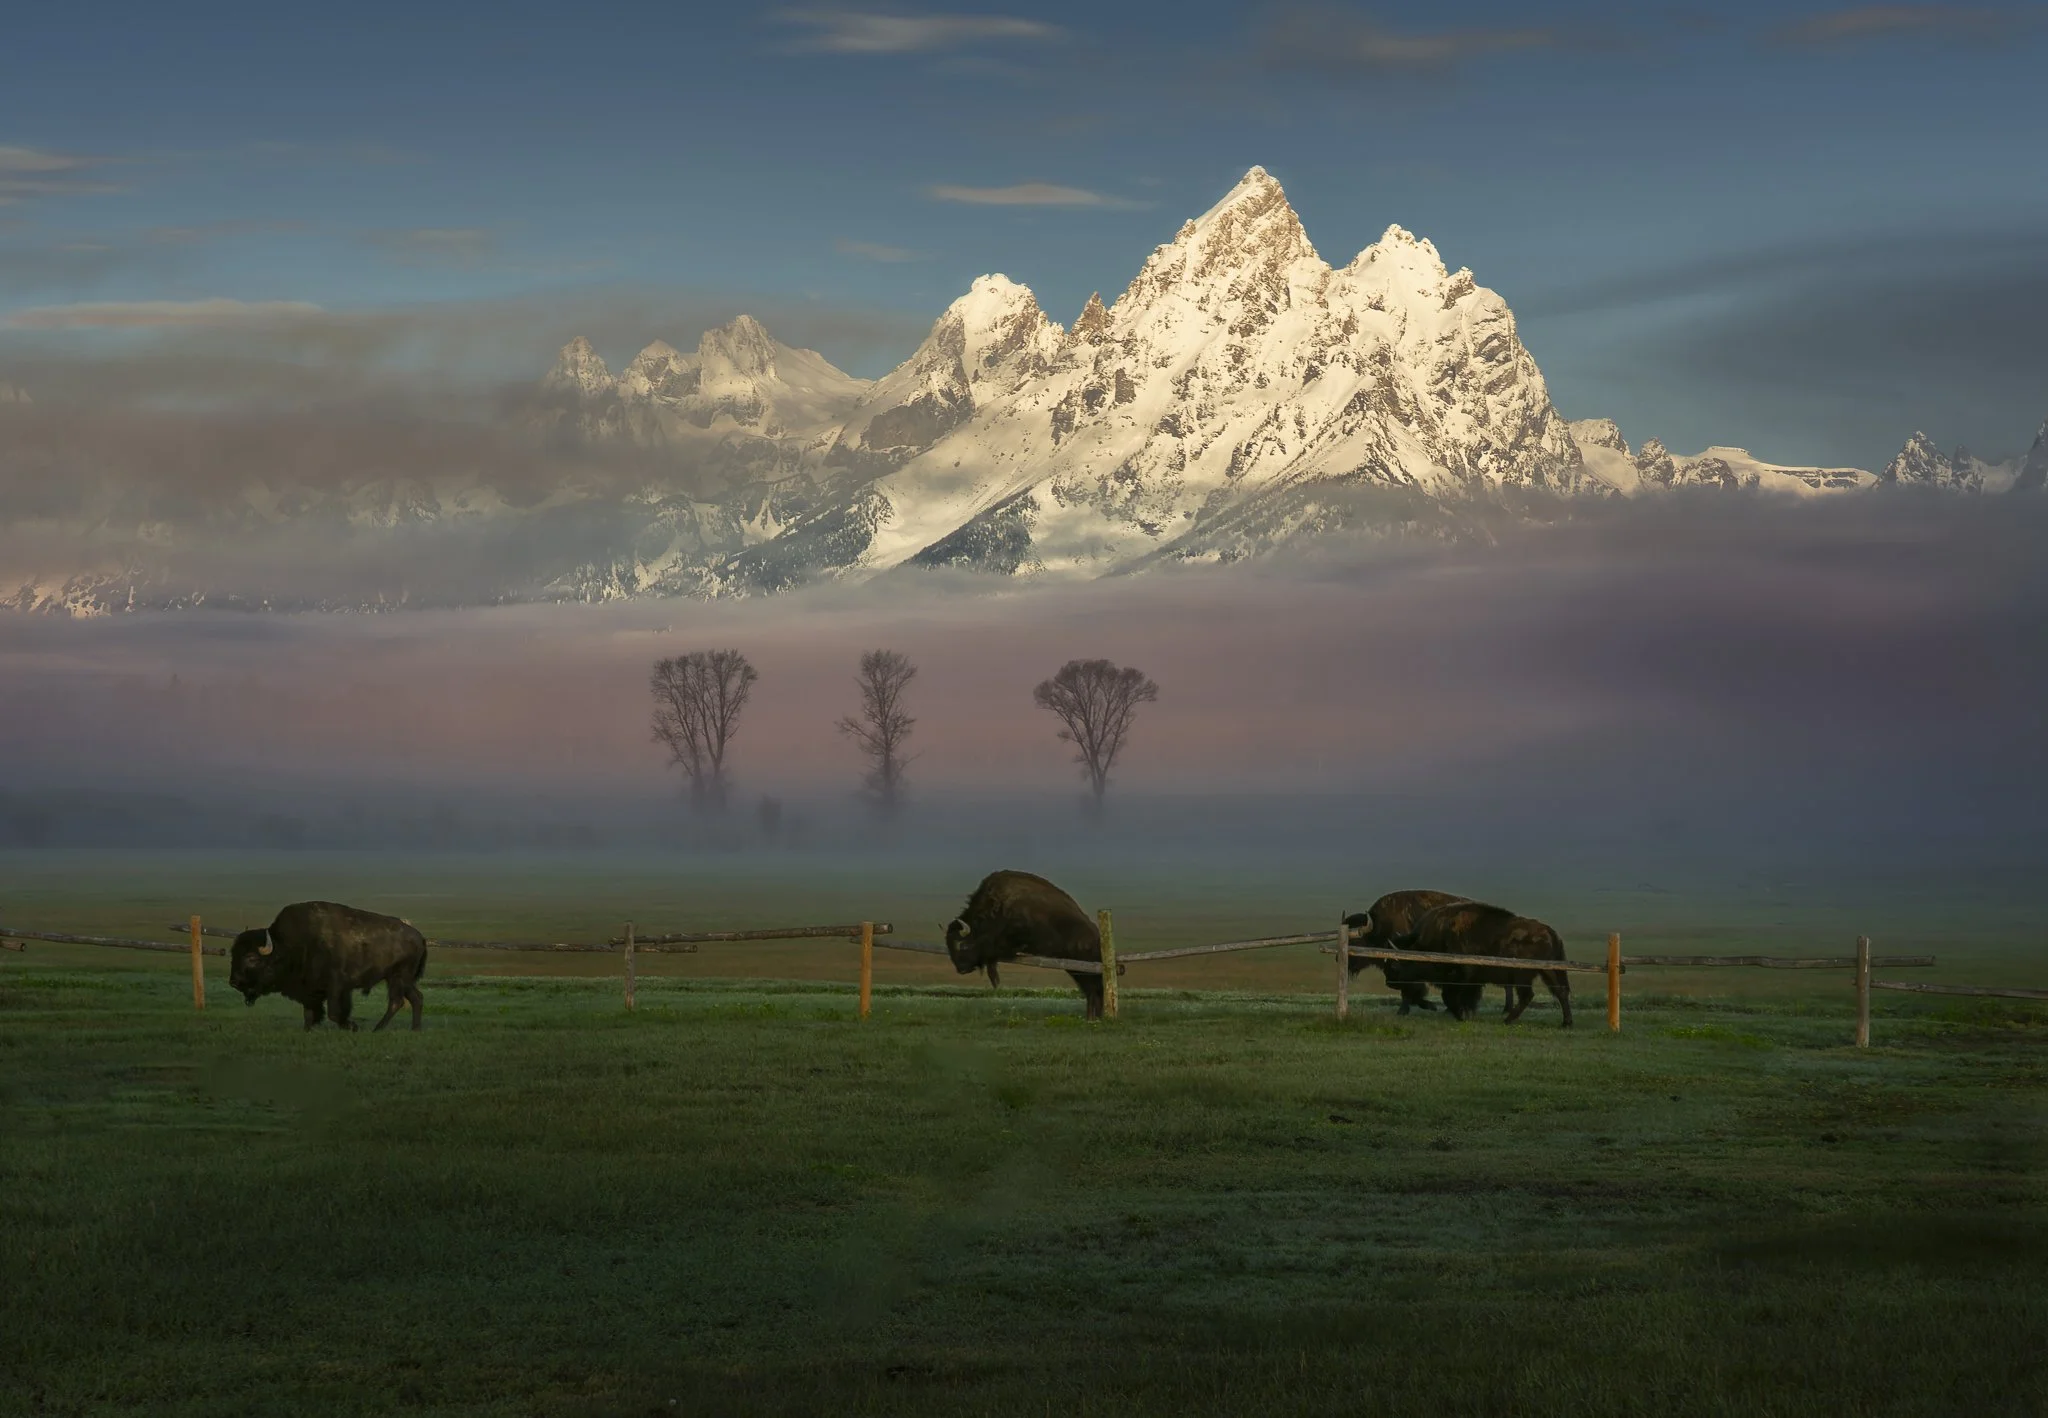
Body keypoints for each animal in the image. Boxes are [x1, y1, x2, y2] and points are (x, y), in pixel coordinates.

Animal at [229, 901, 429, 1032]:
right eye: (233, 955)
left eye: (251, 958)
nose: (234, 982)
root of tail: (419, 937)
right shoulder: (310, 989)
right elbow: (310, 1012)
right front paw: (307, 1029)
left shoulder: (337, 985)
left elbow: (334, 1011)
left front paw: (352, 1026)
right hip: (400, 979)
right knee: (415, 998)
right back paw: (414, 1029)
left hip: (398, 977)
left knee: (397, 1001)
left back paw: (378, 1029)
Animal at [945, 870, 1107, 1019]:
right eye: (949, 946)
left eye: (963, 944)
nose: (961, 969)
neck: (997, 906)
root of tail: (1096, 936)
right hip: (1076, 970)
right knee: (1092, 991)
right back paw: (1093, 1017)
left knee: (1095, 990)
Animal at [1393, 900, 1573, 1027]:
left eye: (1406, 961)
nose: (1396, 981)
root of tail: (1551, 933)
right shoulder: (1470, 980)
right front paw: (1466, 1015)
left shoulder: (1463, 977)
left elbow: (1452, 997)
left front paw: (1462, 1016)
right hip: (1547, 971)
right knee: (1560, 992)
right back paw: (1566, 1023)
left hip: (1523, 975)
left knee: (1528, 995)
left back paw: (1507, 1020)